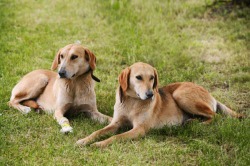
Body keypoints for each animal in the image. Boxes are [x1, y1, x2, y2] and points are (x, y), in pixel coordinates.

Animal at [76, 62, 244, 147]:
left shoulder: (139, 130)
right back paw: (191, 121)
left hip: (180, 95)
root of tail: (210, 94)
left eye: (152, 77)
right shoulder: (115, 123)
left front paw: (100, 144)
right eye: (138, 77)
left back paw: (198, 123)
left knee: (215, 116)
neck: (132, 102)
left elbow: (116, 137)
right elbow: (97, 132)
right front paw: (84, 140)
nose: (151, 94)